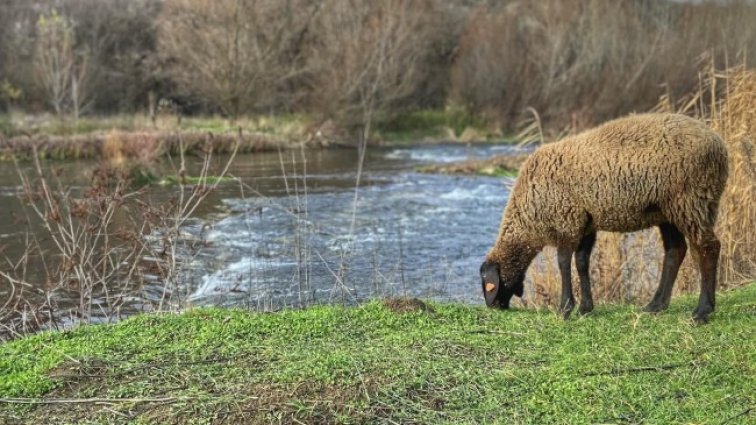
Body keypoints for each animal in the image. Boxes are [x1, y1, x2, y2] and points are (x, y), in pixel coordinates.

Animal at [482, 112, 728, 322]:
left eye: (487, 284)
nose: (493, 307)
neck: (528, 220)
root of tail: (720, 146)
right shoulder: (585, 223)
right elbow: (582, 262)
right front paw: (585, 308)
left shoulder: (566, 220)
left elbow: (563, 262)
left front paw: (565, 308)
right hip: (668, 210)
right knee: (675, 251)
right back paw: (655, 305)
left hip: (691, 200)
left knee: (707, 248)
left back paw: (702, 311)